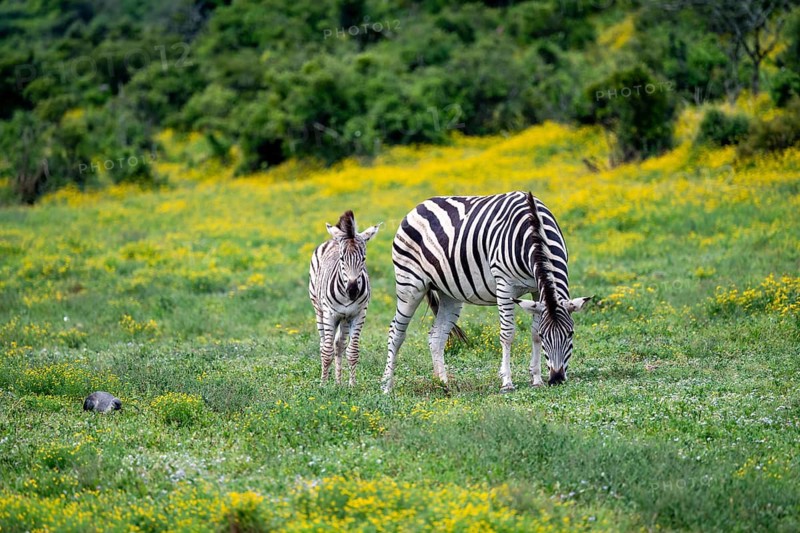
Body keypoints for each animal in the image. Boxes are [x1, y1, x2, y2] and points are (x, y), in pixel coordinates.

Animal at [309, 210, 381, 386]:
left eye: (363, 259)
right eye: (341, 258)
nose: (353, 291)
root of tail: (334, 239)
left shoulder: (358, 314)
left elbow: (352, 351)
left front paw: (352, 385)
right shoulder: (329, 314)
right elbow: (326, 351)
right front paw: (323, 385)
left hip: (345, 318)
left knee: (339, 345)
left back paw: (338, 382)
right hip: (319, 310)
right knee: (323, 344)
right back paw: (327, 380)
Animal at [381, 191, 591, 393]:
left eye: (571, 333)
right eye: (547, 336)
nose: (556, 379)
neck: (535, 231)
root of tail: (418, 206)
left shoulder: (537, 292)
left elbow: (533, 333)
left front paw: (537, 379)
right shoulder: (505, 285)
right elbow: (508, 333)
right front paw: (507, 382)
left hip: (449, 294)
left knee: (436, 336)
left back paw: (443, 384)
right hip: (409, 284)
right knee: (396, 332)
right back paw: (386, 386)